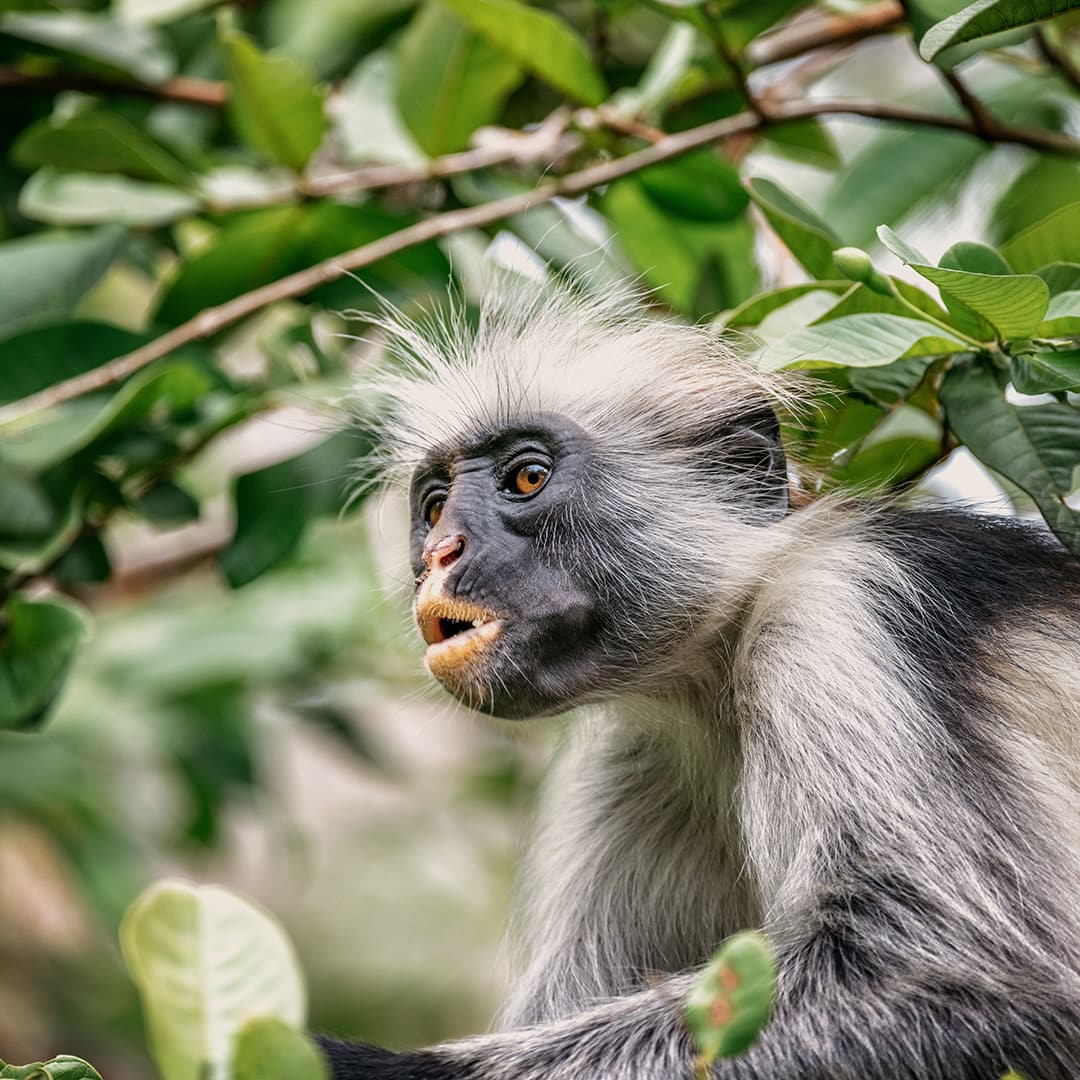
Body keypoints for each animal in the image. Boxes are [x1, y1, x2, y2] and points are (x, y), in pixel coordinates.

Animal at [318, 275, 1080, 1079]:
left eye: (526, 477)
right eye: (433, 508)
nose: (441, 553)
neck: (718, 664)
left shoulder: (839, 614)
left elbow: (952, 966)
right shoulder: (635, 757)